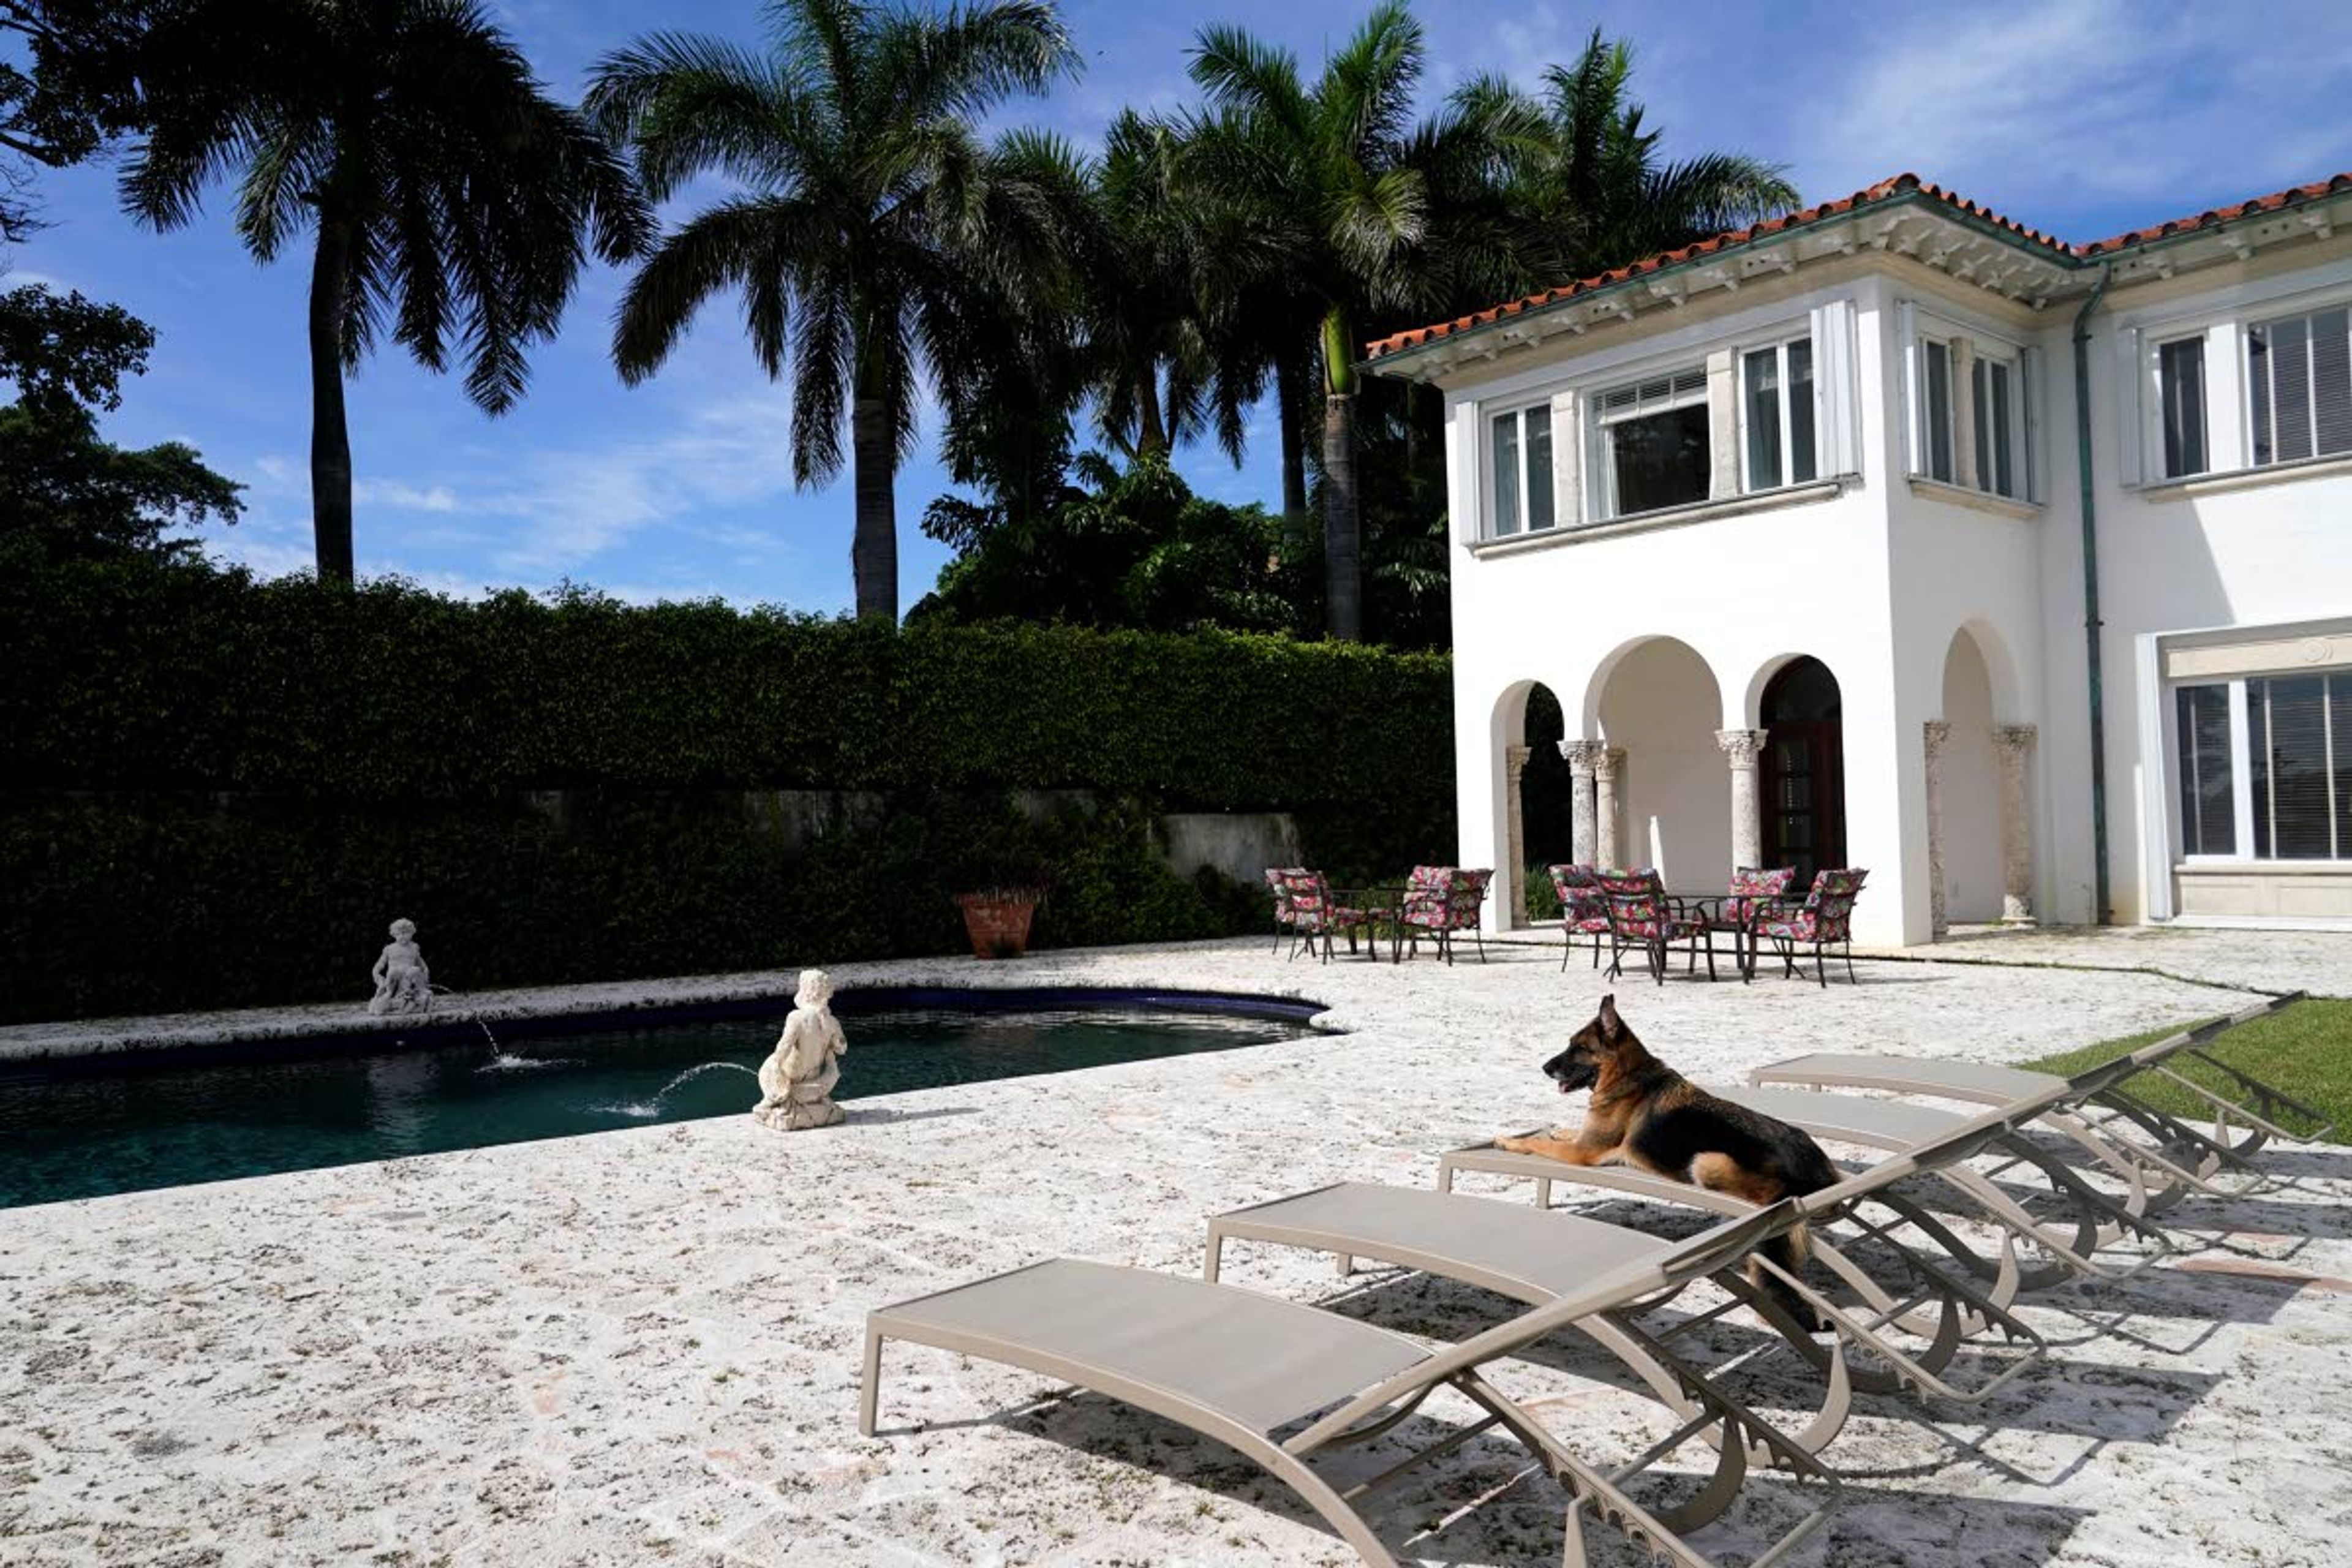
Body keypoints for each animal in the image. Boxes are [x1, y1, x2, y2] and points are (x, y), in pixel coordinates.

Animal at [1496, 1001, 1844, 1316]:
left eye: (1580, 1048)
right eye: (1570, 1044)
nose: (1544, 1067)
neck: (1627, 1076)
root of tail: (1818, 1173)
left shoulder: (1584, 1152)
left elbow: (1537, 1143)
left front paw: (1508, 1141)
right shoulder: (1584, 1140)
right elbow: (1560, 1133)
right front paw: (1553, 1130)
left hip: (1706, 1161)